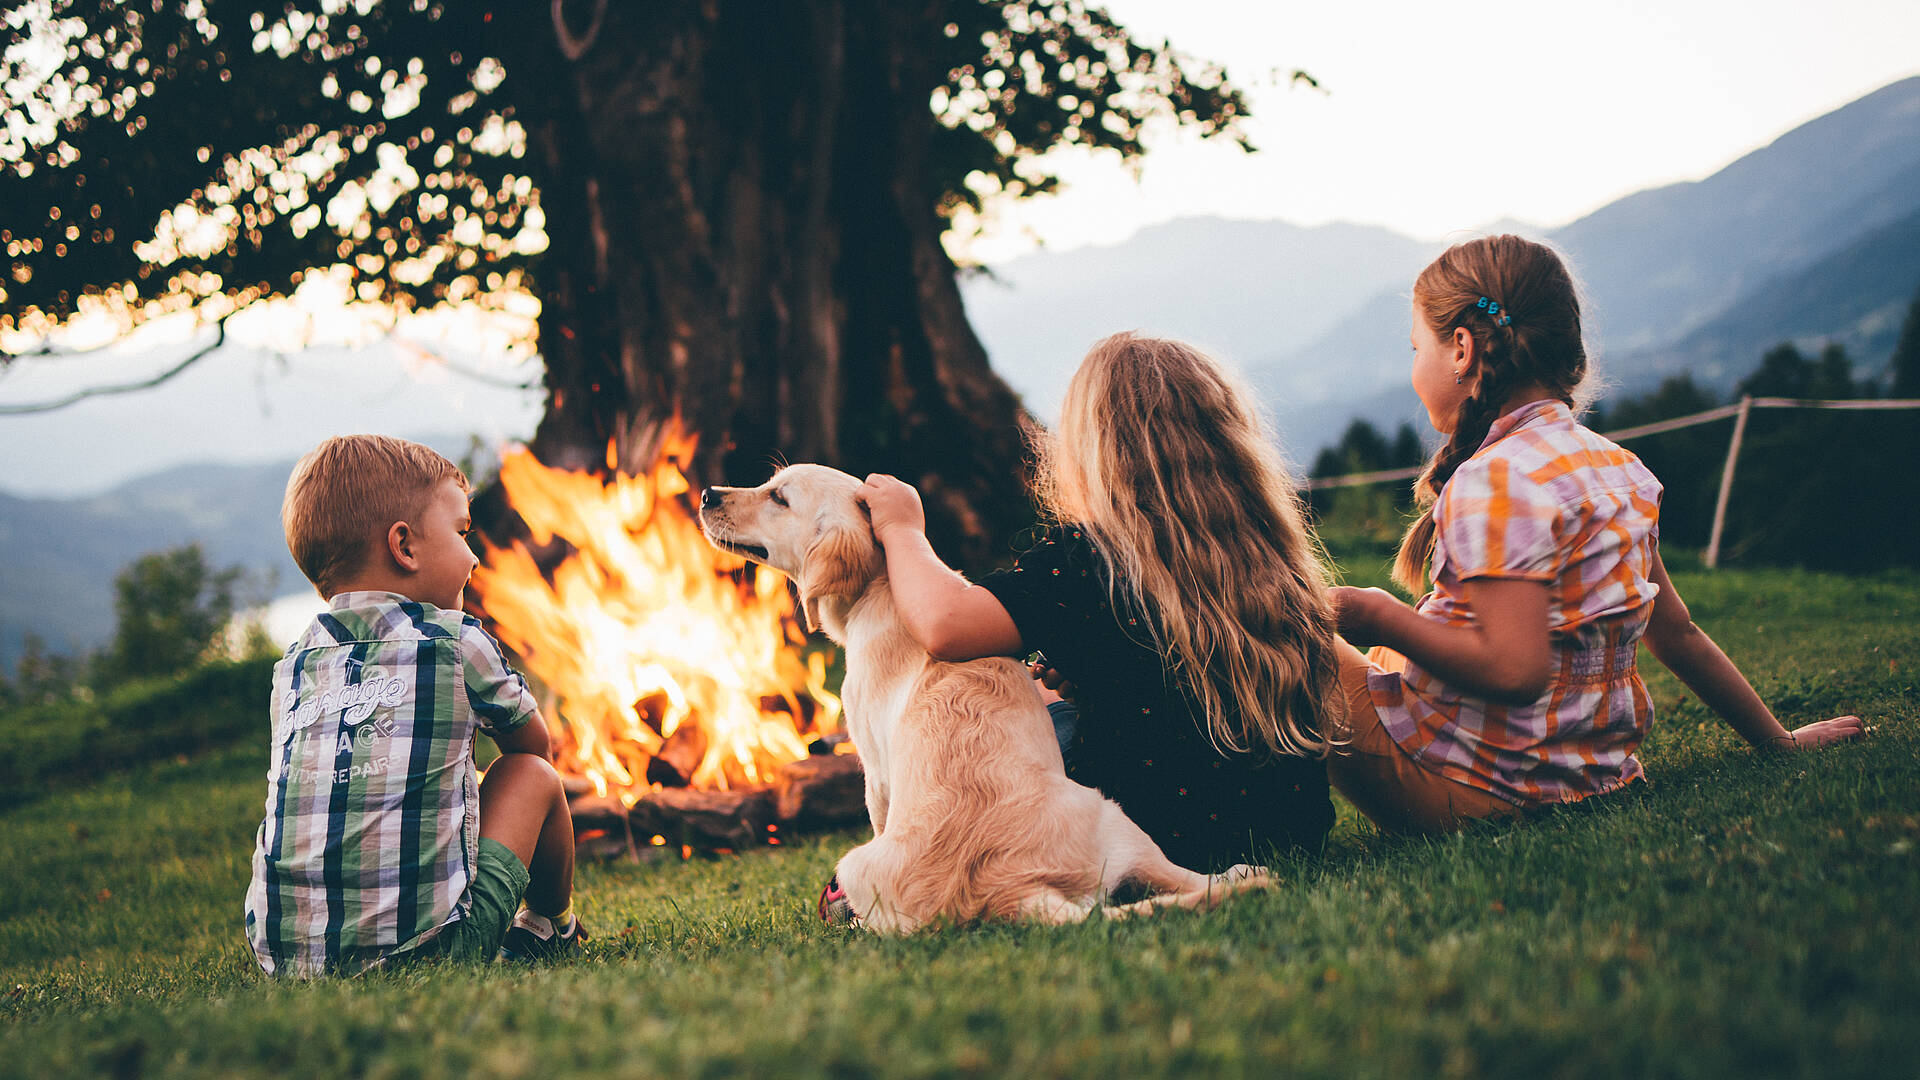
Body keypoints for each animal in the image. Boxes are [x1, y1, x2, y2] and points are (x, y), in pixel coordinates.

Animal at [698, 461, 1267, 926]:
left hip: (1106, 813)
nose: (705, 493)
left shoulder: (875, 772)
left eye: (778, 497)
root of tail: (1006, 893)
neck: (885, 589)